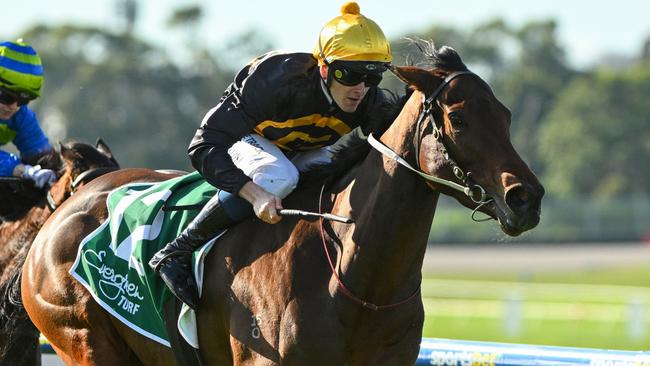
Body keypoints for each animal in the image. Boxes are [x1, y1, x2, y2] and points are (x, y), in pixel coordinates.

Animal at [19, 42, 540, 364]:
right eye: (458, 118)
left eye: (506, 114)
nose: (526, 198)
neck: (357, 280)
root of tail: (69, 204)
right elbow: (210, 143)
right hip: (84, 341)